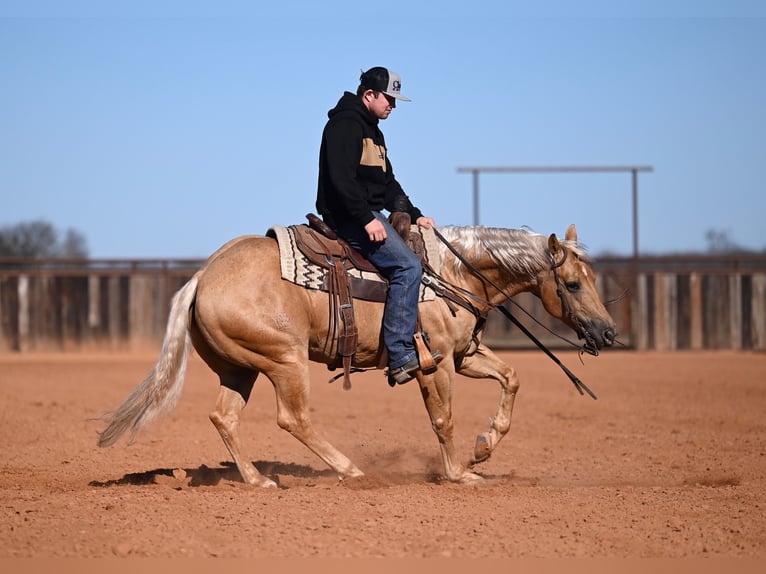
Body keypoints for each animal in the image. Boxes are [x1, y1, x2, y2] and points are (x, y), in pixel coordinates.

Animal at [97, 223, 617, 487]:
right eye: (573, 284)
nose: (607, 332)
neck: (452, 273)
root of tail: (202, 276)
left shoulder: (464, 356)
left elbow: (511, 377)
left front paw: (484, 447)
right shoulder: (435, 363)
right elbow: (443, 418)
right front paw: (458, 473)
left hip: (240, 368)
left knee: (224, 417)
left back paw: (258, 480)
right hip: (283, 359)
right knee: (293, 417)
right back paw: (349, 470)